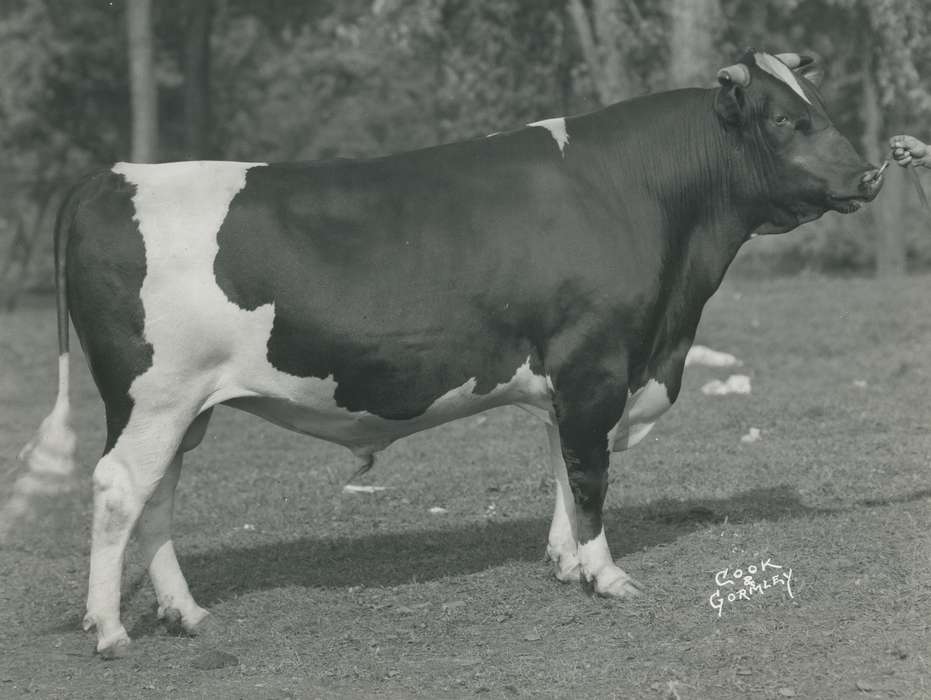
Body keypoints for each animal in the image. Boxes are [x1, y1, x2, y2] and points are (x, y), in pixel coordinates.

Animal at [16, 49, 883, 658]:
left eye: (817, 107)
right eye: (783, 121)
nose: (870, 173)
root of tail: (113, 175)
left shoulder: (565, 372)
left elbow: (560, 464)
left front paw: (564, 563)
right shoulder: (597, 361)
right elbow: (590, 473)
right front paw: (605, 575)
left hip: (180, 406)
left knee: (158, 494)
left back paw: (187, 613)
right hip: (153, 396)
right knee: (120, 489)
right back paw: (109, 629)